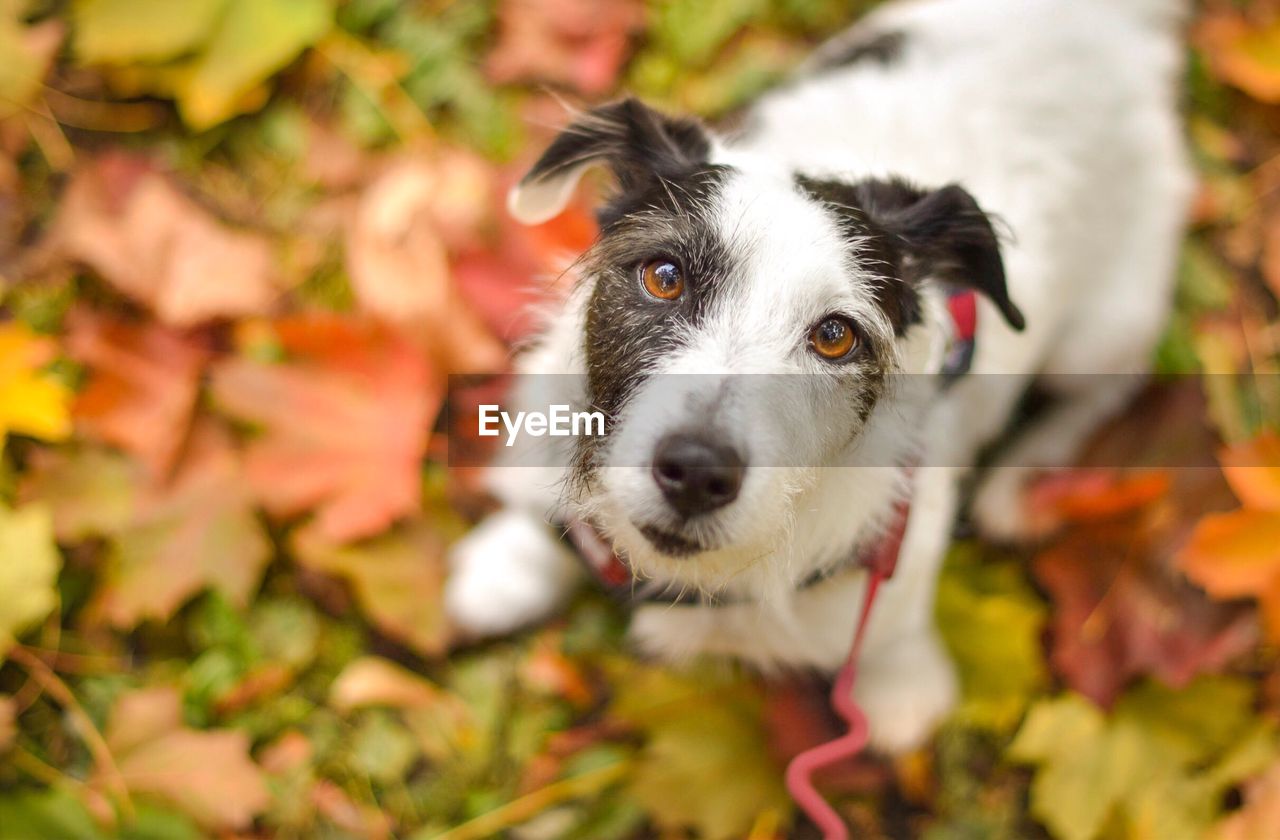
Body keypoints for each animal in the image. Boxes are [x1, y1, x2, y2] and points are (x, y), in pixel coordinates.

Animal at [445, 0, 1192, 752]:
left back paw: (1022, 484)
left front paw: (897, 686)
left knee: (1106, 389)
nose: (696, 472)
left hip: (1106, 325)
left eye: (835, 336)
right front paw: (512, 565)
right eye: (664, 276)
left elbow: (893, 641)